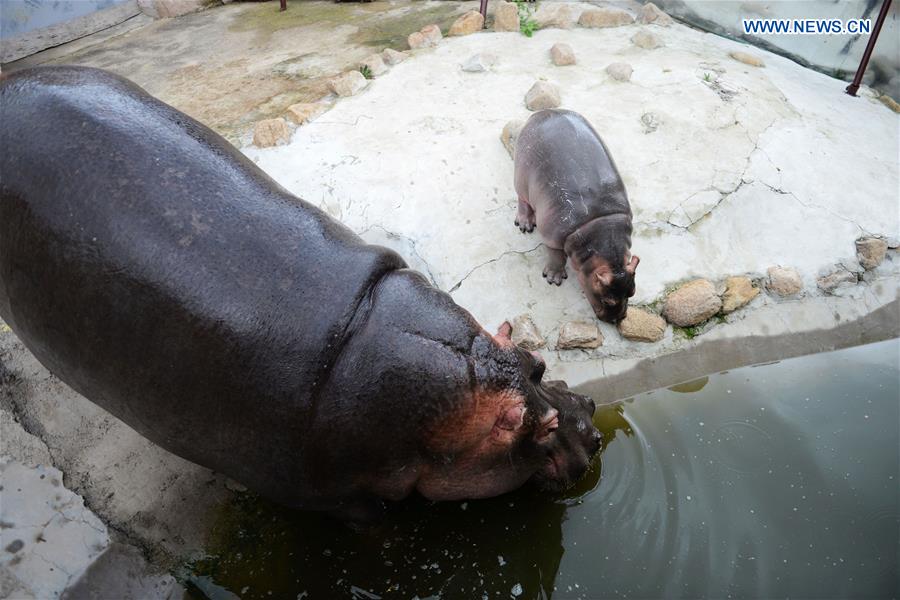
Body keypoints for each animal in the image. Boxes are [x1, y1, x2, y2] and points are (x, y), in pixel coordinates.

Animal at [516, 109, 636, 324]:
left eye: (632, 292)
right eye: (607, 300)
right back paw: (525, 224)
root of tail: (541, 112)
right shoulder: (553, 235)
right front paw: (554, 279)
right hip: (521, 178)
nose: (618, 319)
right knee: (522, 200)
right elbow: (556, 256)